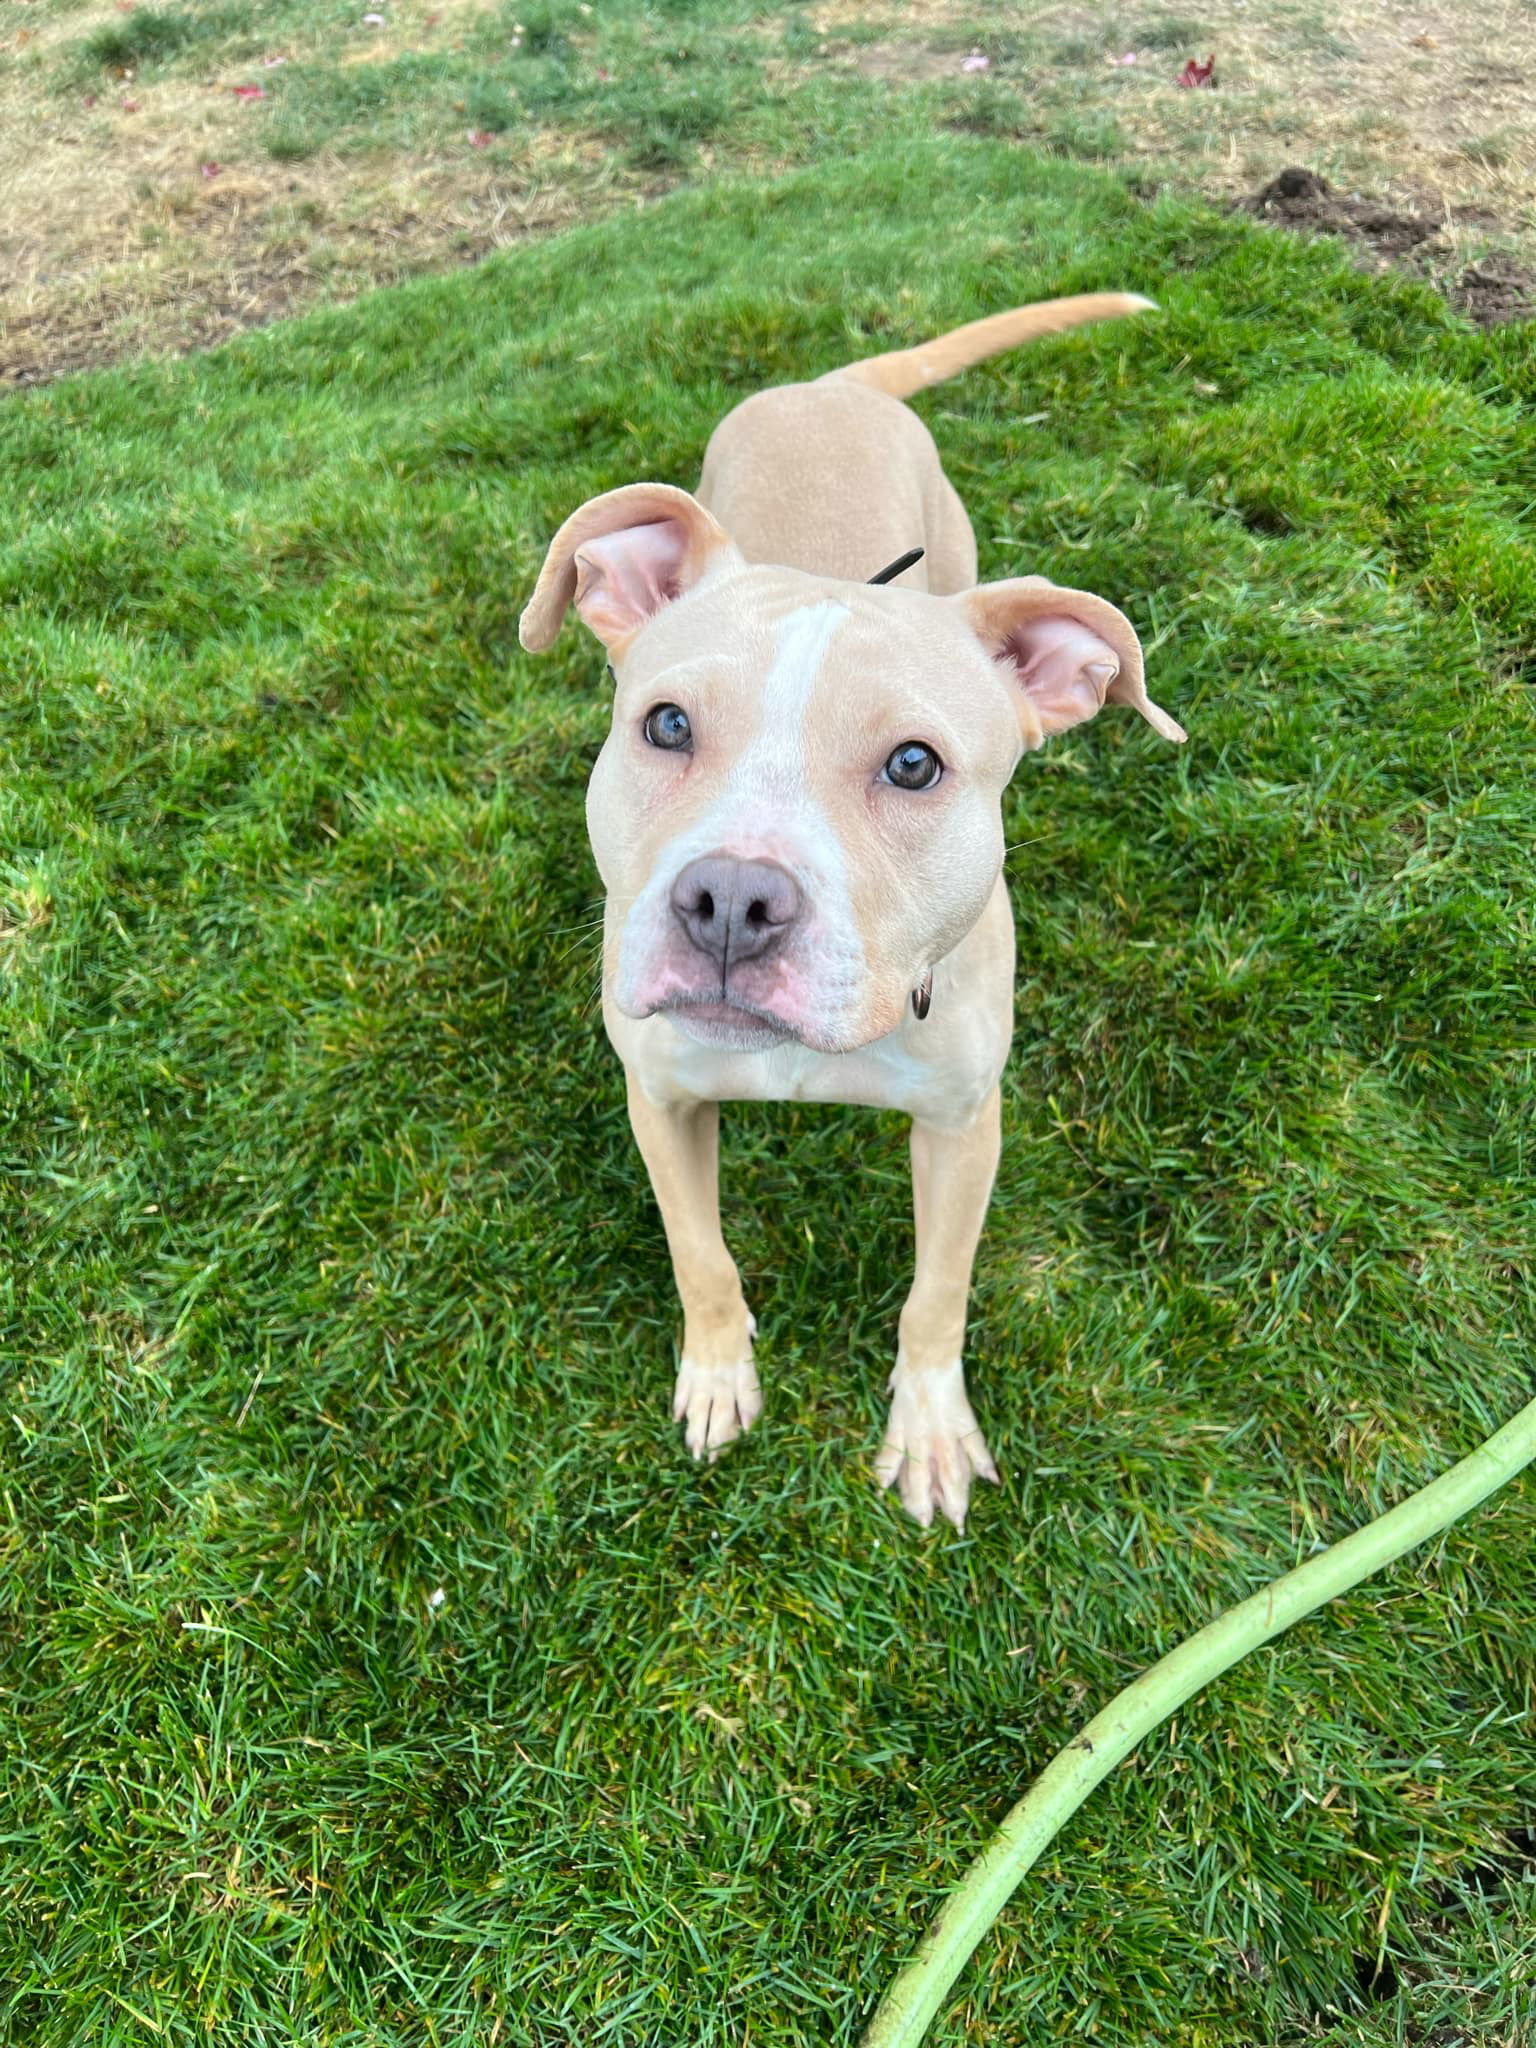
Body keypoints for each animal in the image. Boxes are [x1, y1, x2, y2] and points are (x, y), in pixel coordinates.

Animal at [524, 296, 1187, 1531]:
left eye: (915, 764)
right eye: (667, 724)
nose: (732, 902)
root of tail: (833, 386)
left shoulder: (965, 1128)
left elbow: (938, 1292)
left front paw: (928, 1429)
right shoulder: (661, 1098)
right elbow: (703, 1255)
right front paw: (718, 1374)